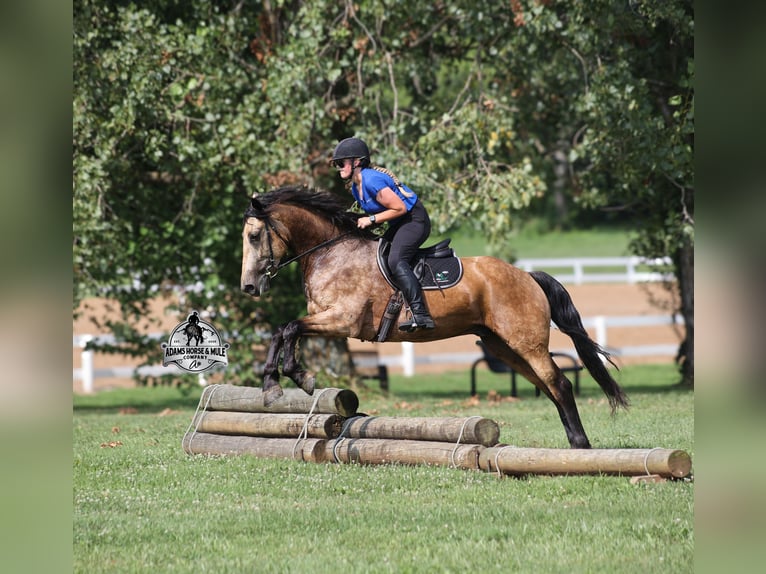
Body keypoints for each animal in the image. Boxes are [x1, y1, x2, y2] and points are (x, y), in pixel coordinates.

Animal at [241, 186, 629, 449]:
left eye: (255, 236)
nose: (248, 286)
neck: (331, 252)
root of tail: (528, 276)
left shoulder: (342, 320)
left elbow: (290, 328)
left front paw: (297, 377)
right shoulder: (326, 320)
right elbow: (282, 331)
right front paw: (273, 384)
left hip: (526, 342)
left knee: (559, 384)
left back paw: (580, 444)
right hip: (503, 347)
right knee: (547, 386)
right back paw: (574, 440)